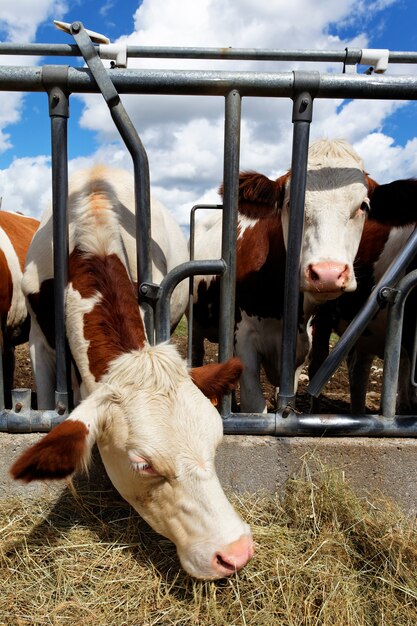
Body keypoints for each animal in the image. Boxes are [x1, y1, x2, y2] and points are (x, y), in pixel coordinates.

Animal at [192, 138, 374, 412]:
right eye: (290, 204)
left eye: (363, 206)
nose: (328, 273)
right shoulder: (244, 340)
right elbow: (255, 405)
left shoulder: (299, 349)